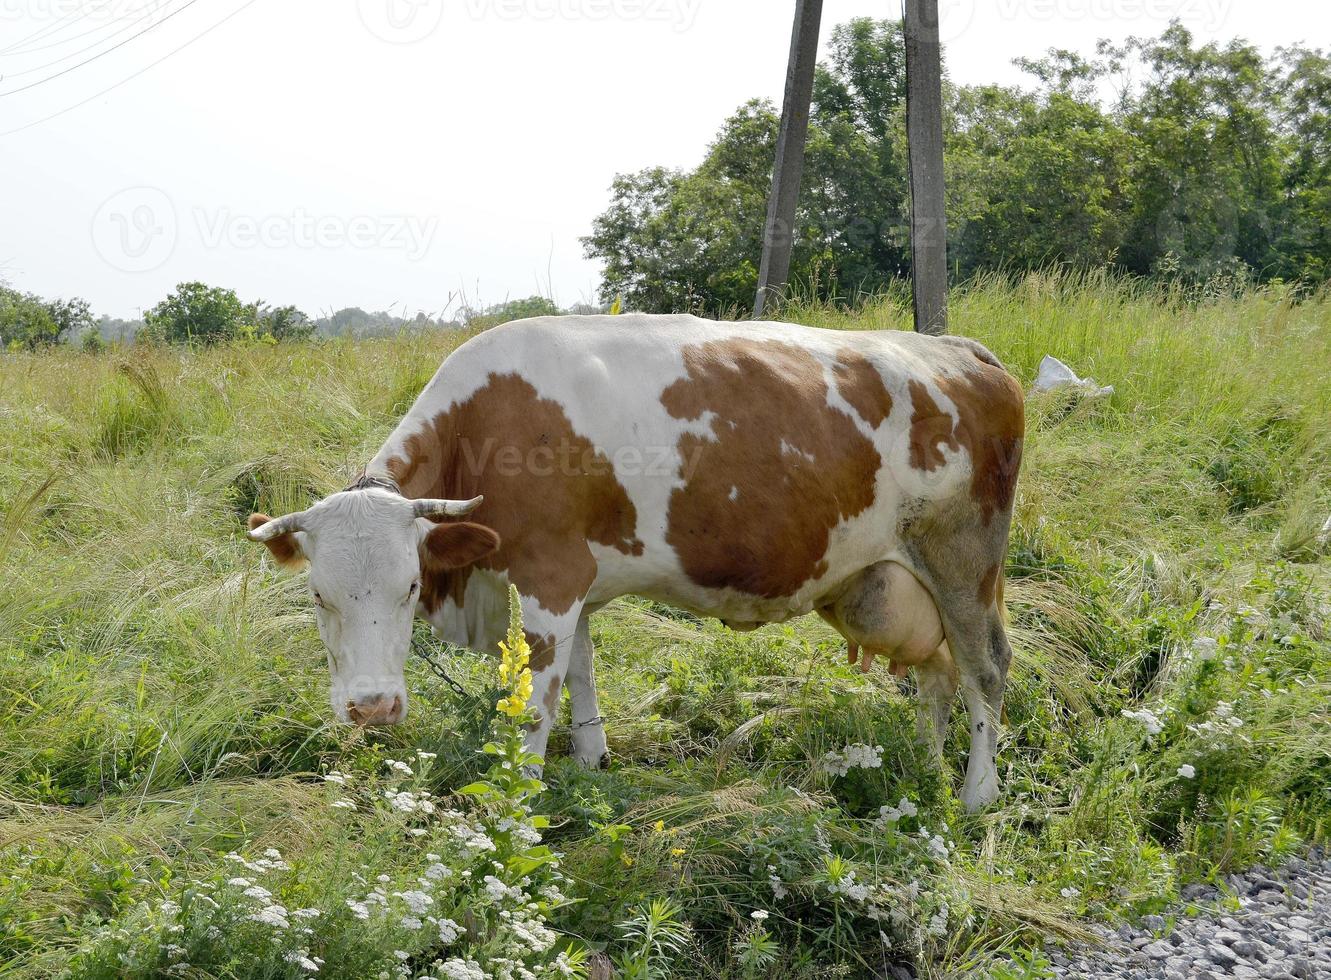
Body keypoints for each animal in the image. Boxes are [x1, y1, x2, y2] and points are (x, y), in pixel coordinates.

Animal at [247, 314, 1016, 809]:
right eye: (317, 596)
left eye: (409, 587)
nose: (372, 706)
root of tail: (960, 350)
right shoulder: (577, 579)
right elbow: (583, 672)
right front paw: (593, 761)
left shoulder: (550, 575)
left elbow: (537, 701)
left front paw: (516, 805)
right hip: (894, 584)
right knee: (937, 674)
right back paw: (925, 769)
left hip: (965, 561)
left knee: (985, 668)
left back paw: (975, 795)